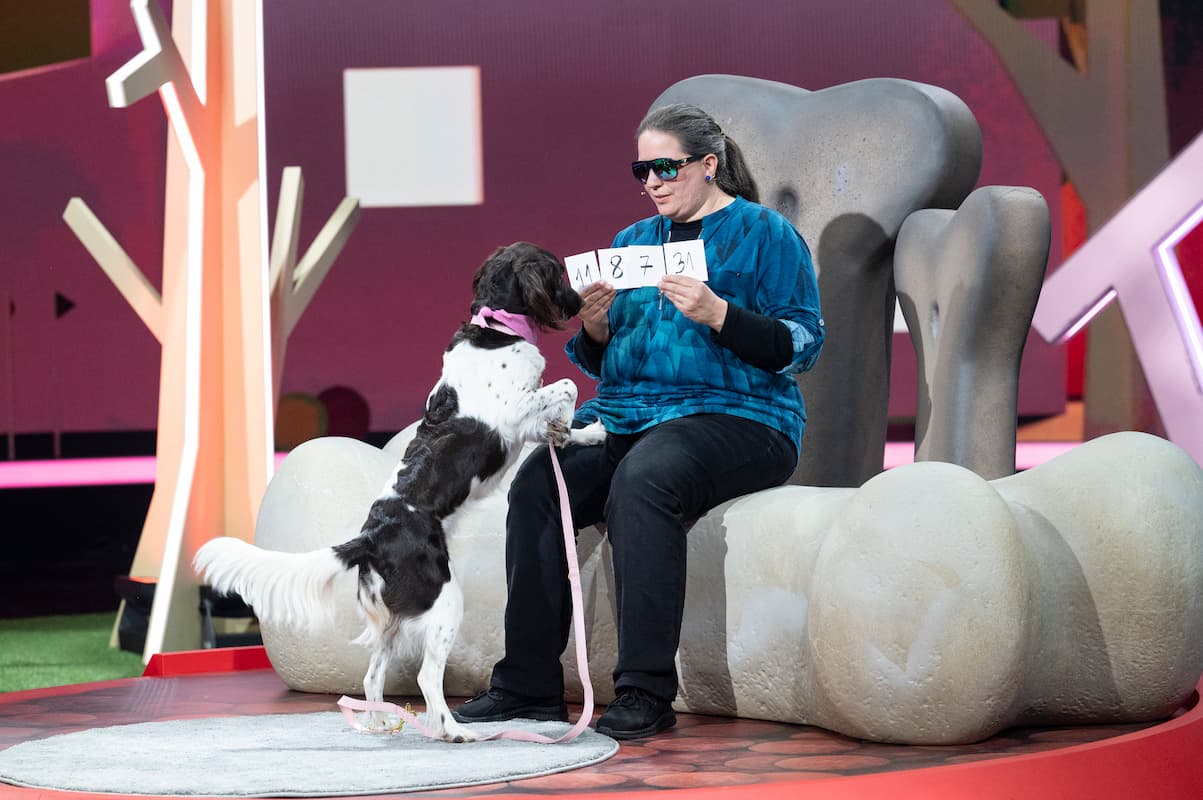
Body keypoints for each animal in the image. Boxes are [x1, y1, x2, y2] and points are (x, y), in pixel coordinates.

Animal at [199, 240, 611, 741]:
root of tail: (371, 537)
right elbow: (566, 387)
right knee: (427, 679)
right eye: (557, 273)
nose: (579, 303)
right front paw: (575, 425)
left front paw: (589, 434)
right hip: (443, 601)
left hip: (392, 622)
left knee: (372, 677)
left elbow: (562, 421)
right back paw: (454, 731)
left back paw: (379, 724)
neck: (494, 327)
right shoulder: (515, 414)